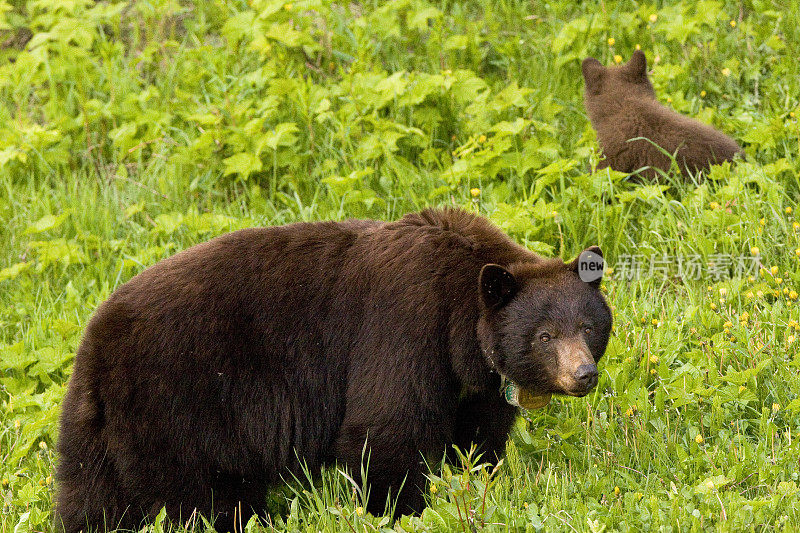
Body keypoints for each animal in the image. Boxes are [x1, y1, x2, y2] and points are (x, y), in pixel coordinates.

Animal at [54, 208, 612, 532]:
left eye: (588, 326)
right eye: (545, 335)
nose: (584, 374)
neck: (458, 318)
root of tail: (95, 347)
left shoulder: (475, 382)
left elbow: (478, 435)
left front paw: (476, 477)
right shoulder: (404, 326)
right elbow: (385, 428)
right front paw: (400, 510)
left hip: (101, 432)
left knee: (91, 495)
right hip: (181, 407)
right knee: (202, 498)